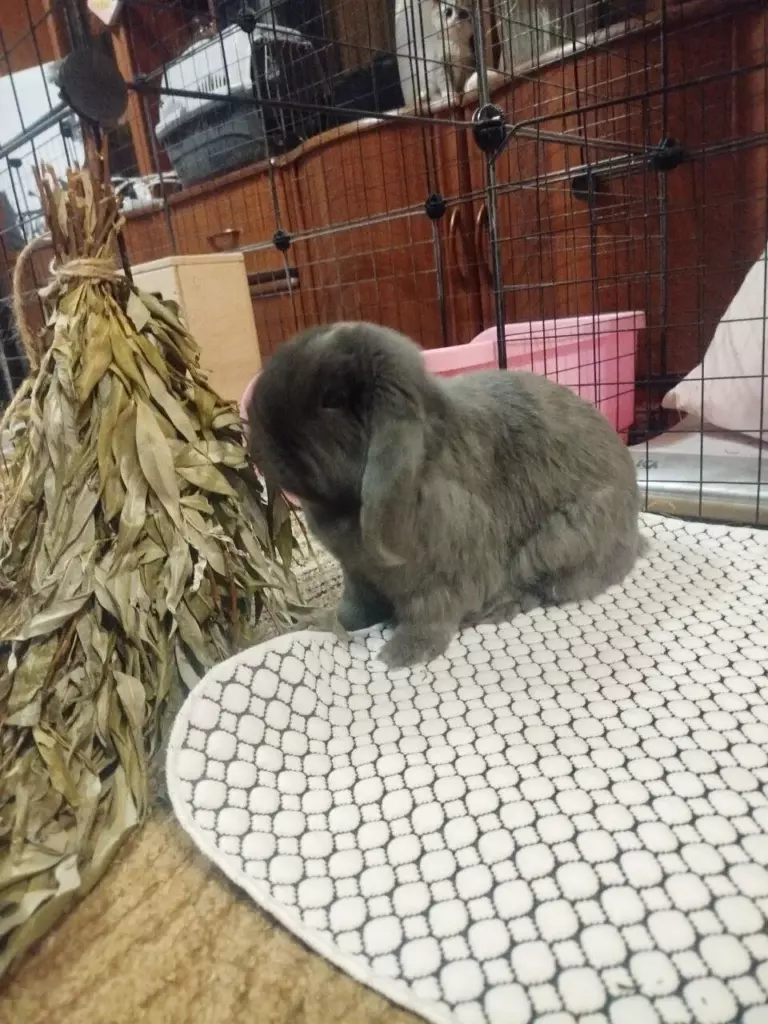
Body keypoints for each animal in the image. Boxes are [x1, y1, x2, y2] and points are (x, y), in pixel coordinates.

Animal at [247, 322, 644, 669]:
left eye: (332, 399)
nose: (258, 443)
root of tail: (634, 535)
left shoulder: (441, 578)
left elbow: (429, 614)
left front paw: (401, 655)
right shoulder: (357, 576)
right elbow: (353, 610)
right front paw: (318, 622)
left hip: (558, 542)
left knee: (548, 587)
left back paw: (495, 609)